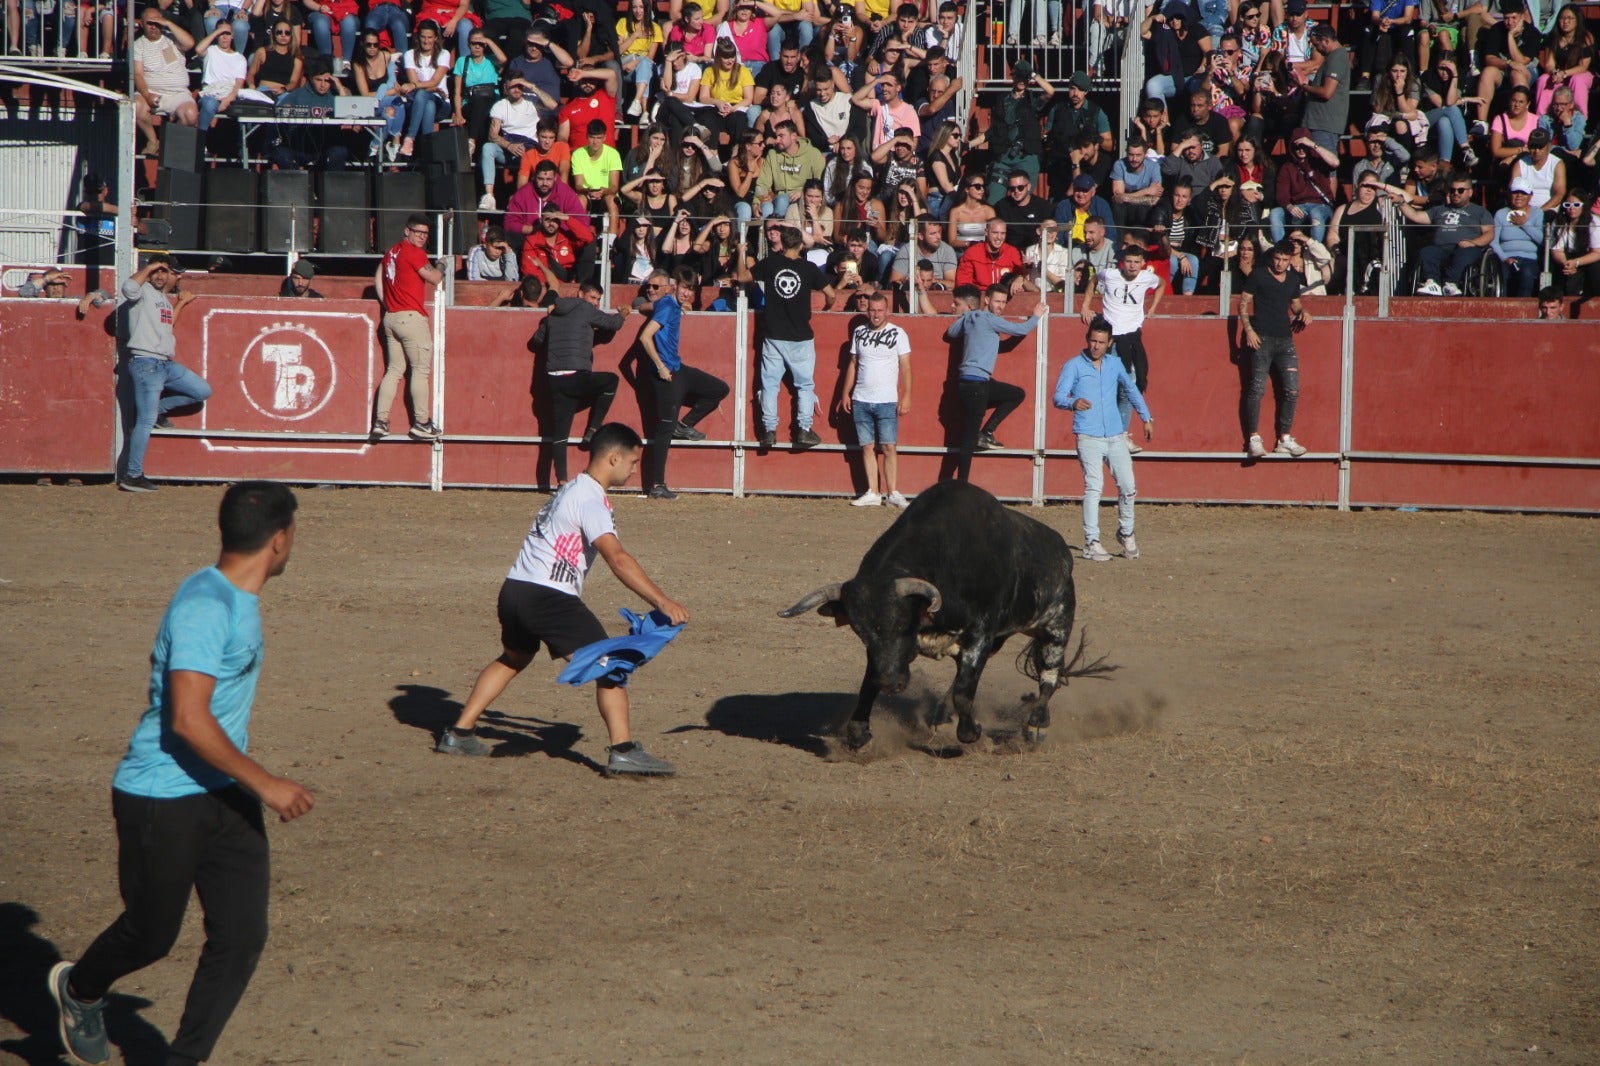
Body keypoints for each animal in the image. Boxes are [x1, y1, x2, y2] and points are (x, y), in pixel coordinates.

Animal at [777, 476, 1113, 742]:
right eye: (860, 632)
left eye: (902, 624)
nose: (892, 685)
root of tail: (1062, 552)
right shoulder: (893, 652)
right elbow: (869, 681)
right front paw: (858, 732)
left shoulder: (980, 634)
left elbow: (966, 688)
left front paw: (972, 732)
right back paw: (940, 713)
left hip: (1056, 625)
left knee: (1049, 674)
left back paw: (1036, 725)